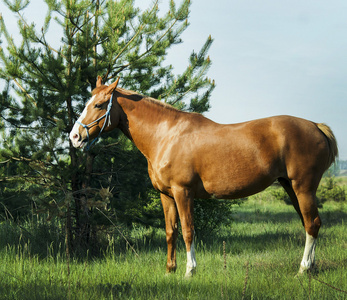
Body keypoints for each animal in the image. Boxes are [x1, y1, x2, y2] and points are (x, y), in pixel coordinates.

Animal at [69, 77, 338, 276]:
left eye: (99, 105)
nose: (74, 137)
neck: (166, 135)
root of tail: (316, 126)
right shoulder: (166, 195)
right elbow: (171, 231)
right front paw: (170, 270)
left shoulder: (183, 192)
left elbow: (188, 230)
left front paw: (190, 271)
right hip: (291, 187)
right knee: (309, 224)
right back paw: (311, 268)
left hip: (303, 187)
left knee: (312, 224)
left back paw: (303, 269)